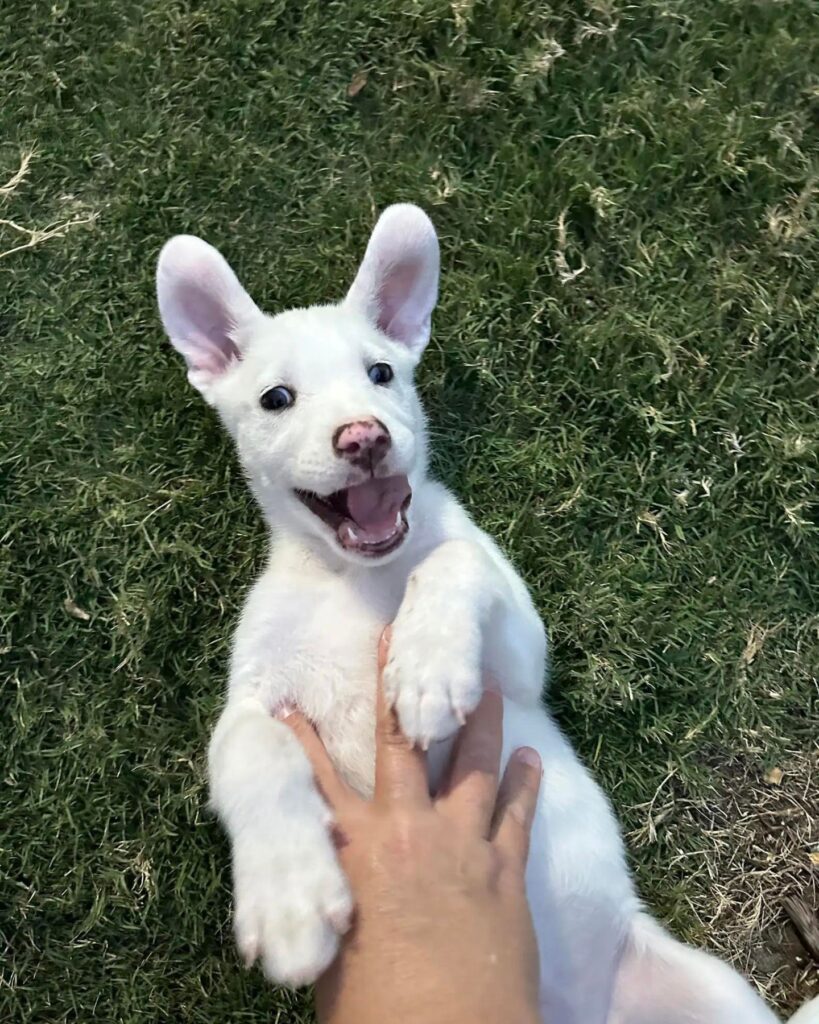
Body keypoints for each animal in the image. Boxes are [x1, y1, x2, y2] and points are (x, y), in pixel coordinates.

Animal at [156, 205, 810, 1024]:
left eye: (381, 373)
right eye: (277, 398)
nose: (364, 437)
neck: (357, 577)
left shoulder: (519, 660)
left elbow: (454, 560)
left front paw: (426, 666)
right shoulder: (253, 696)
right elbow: (252, 750)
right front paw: (289, 899)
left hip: (710, 991)